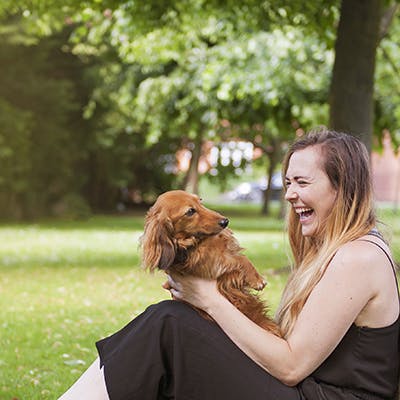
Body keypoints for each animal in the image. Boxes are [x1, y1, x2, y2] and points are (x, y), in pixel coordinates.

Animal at [141, 190, 282, 334]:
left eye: (200, 201)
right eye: (190, 211)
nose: (225, 221)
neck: (198, 241)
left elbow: (239, 256)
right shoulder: (216, 264)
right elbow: (241, 259)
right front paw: (257, 279)